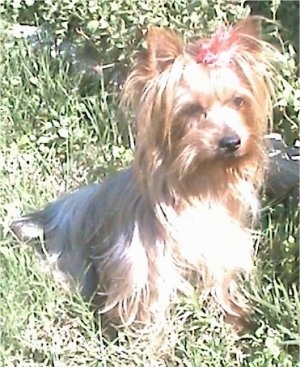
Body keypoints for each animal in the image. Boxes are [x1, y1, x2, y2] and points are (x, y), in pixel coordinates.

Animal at [11, 14, 278, 336]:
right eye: (192, 109)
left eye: (239, 101)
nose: (231, 141)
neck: (200, 183)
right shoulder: (144, 262)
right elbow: (149, 305)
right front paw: (153, 344)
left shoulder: (221, 251)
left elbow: (221, 285)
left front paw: (234, 325)